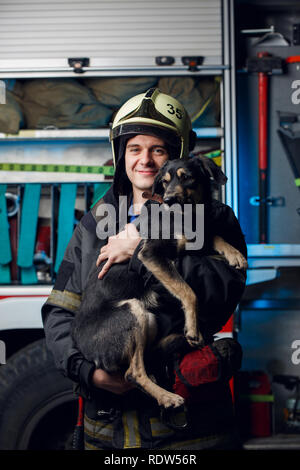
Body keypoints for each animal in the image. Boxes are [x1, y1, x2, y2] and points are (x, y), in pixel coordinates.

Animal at [71, 156, 247, 410]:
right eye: (164, 182)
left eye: (186, 177)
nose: (168, 200)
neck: (189, 215)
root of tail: (83, 350)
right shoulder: (151, 254)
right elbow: (188, 291)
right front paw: (192, 327)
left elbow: (214, 235)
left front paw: (235, 253)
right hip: (132, 311)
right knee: (133, 373)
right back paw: (167, 395)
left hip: (148, 321)